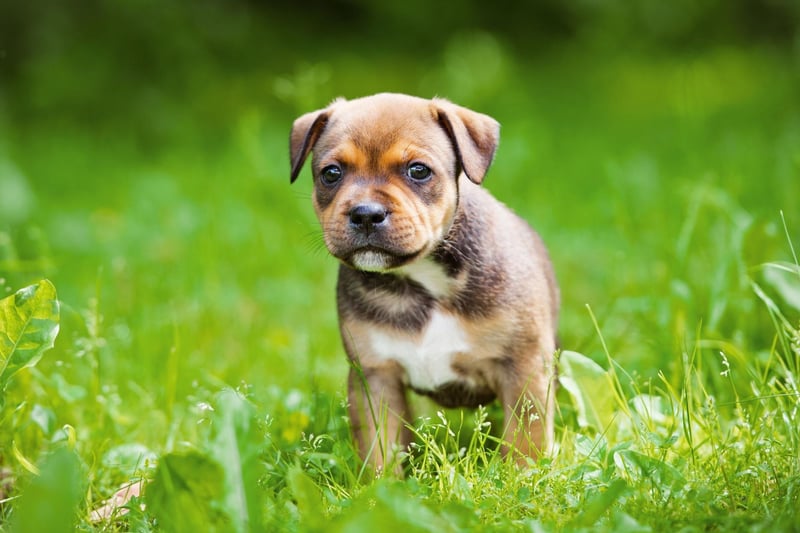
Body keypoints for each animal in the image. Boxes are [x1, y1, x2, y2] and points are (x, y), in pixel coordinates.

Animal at [290, 93, 560, 472]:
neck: (419, 281)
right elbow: (380, 445)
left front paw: (524, 477)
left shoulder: (523, 368)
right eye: (331, 174)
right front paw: (382, 484)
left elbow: (526, 440)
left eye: (418, 171)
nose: (366, 213)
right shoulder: (376, 378)